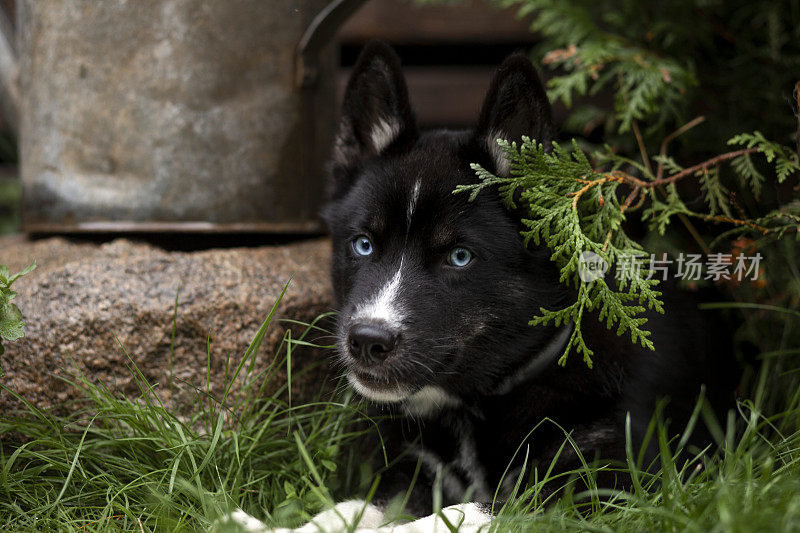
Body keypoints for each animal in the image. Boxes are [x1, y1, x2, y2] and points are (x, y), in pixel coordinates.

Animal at [234, 41, 740, 532]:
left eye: (460, 257)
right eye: (362, 245)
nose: (367, 341)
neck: (477, 404)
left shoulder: (605, 483)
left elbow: (455, 515)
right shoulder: (414, 474)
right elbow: (350, 508)